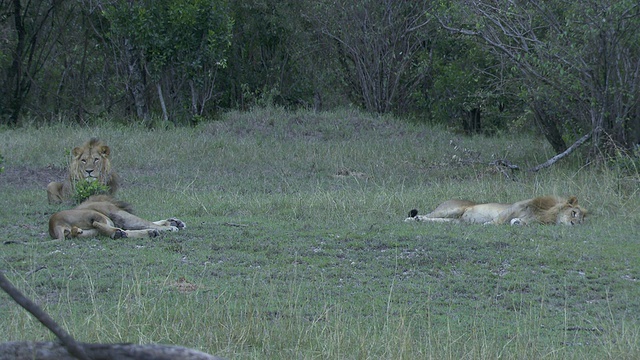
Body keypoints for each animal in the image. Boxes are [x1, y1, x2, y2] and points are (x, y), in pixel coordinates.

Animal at [49, 195, 185, 240]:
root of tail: (54, 224)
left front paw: (174, 222)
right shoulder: (120, 215)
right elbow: (147, 221)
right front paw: (171, 226)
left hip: (91, 232)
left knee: (123, 231)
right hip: (104, 217)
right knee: (101, 225)